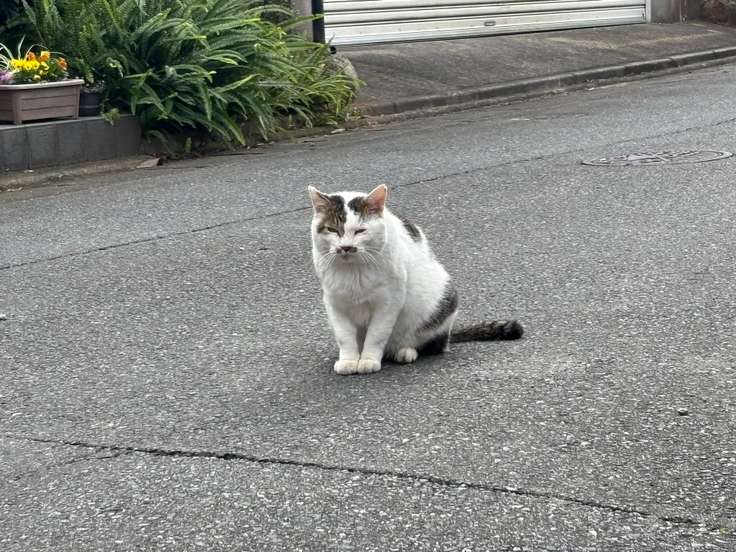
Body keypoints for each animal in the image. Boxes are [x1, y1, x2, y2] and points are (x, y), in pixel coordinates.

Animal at [308, 184, 523, 375]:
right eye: (332, 229)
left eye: (360, 231)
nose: (346, 247)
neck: (353, 271)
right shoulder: (334, 303)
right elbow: (344, 336)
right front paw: (349, 361)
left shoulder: (389, 300)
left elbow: (377, 334)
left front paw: (368, 360)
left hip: (443, 299)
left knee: (433, 344)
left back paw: (405, 351)